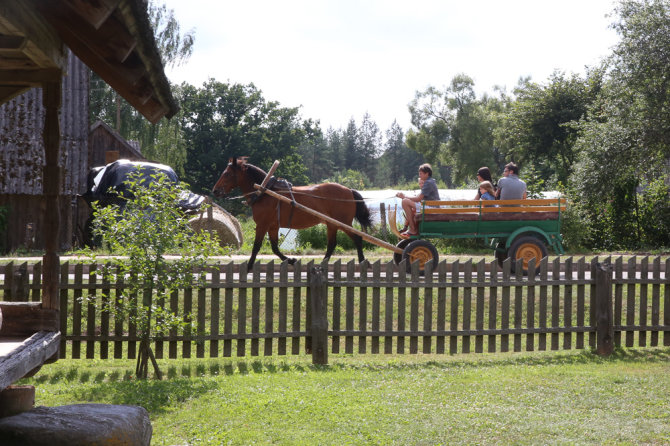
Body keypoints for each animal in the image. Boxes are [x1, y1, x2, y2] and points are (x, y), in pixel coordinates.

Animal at [213, 159, 372, 274]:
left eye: (227, 174)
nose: (215, 190)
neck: (265, 192)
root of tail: (349, 190)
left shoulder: (262, 225)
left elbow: (256, 246)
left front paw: (249, 266)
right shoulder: (272, 226)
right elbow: (275, 248)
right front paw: (291, 260)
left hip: (342, 223)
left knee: (357, 239)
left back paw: (363, 262)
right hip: (332, 224)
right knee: (332, 244)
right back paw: (322, 265)